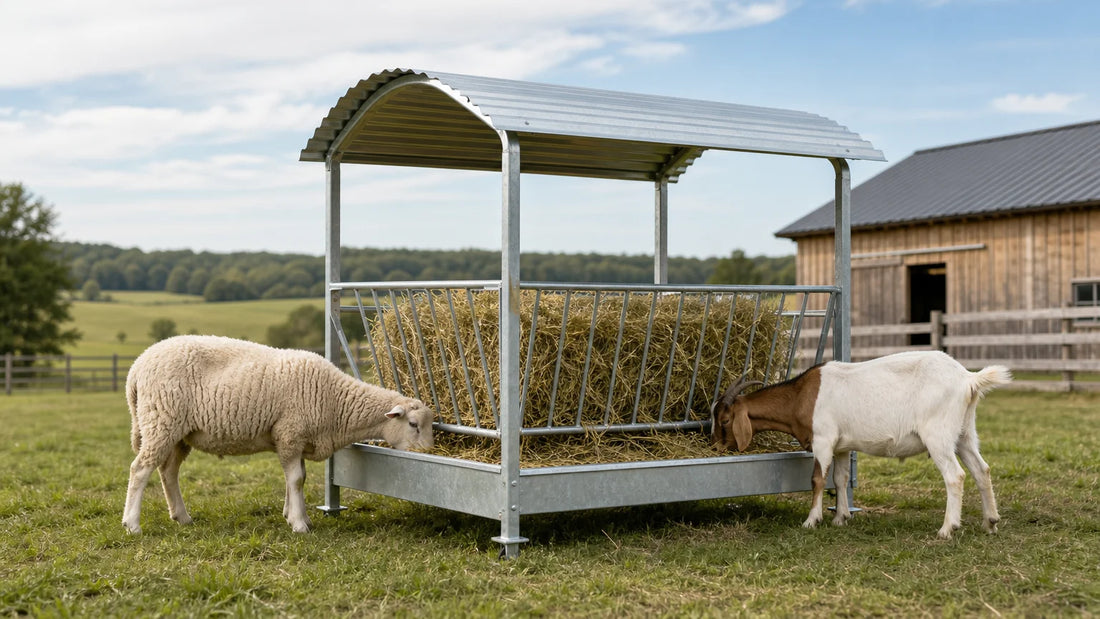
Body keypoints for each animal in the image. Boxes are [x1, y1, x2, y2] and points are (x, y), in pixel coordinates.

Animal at [121, 334, 434, 534]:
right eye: (413, 425)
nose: (429, 454)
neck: (335, 400)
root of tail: (137, 366)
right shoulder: (290, 432)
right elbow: (295, 480)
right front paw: (299, 524)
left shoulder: (294, 438)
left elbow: (297, 478)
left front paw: (294, 514)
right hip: (162, 420)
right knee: (140, 469)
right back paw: (132, 524)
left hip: (179, 432)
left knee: (167, 472)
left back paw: (182, 517)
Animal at [711, 351, 1011, 539]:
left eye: (724, 420)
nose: (715, 447)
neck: (801, 396)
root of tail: (968, 379)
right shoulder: (842, 446)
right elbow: (840, 479)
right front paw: (840, 518)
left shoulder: (823, 439)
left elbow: (817, 479)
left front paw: (811, 521)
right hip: (964, 433)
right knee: (981, 470)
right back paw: (990, 522)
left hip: (938, 435)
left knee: (955, 475)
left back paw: (947, 529)